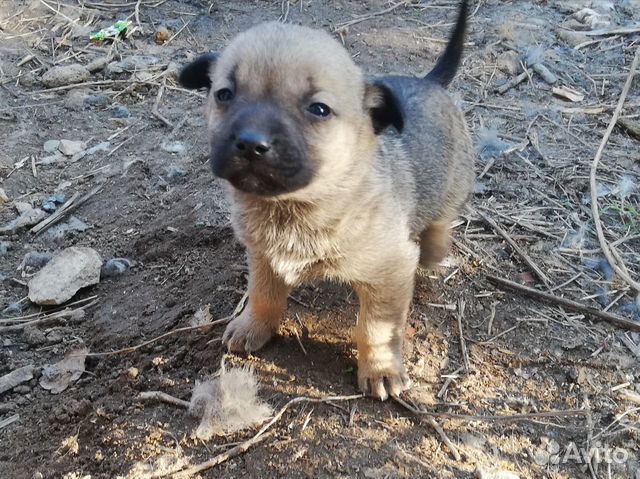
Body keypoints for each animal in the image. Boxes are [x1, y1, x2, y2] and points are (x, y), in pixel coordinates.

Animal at [180, 0, 476, 402]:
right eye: (224, 94)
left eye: (319, 109)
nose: (250, 143)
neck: (294, 208)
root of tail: (429, 81)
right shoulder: (262, 256)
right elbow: (263, 295)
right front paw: (252, 326)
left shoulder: (390, 272)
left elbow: (376, 329)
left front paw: (380, 369)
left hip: (453, 184)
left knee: (441, 219)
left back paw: (433, 249)